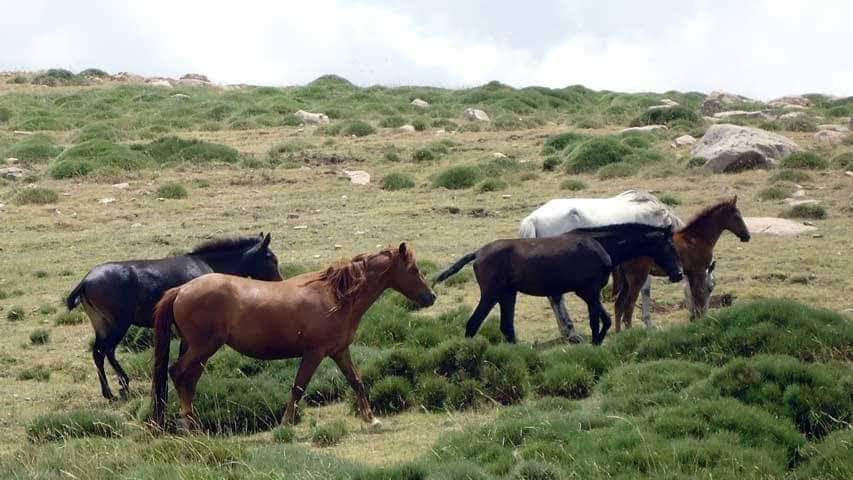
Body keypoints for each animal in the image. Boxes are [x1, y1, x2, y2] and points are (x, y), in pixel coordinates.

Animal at [66, 233, 282, 400]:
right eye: (272, 259)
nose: (279, 283)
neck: (207, 265)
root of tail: (86, 281)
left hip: (102, 324)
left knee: (99, 353)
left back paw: (111, 391)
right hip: (118, 324)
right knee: (106, 350)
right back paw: (120, 386)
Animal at [151, 243, 436, 431]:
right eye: (413, 269)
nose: (431, 296)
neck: (336, 296)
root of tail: (181, 290)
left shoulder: (339, 350)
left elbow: (356, 381)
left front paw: (371, 418)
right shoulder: (314, 353)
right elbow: (299, 387)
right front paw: (286, 424)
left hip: (197, 349)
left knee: (189, 380)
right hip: (203, 347)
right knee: (178, 373)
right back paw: (193, 426)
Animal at [433, 223, 683, 345]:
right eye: (670, 245)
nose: (679, 274)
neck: (601, 245)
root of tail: (477, 253)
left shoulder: (589, 294)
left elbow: (603, 321)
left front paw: (596, 342)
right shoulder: (590, 292)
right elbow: (599, 322)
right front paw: (594, 343)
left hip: (507, 295)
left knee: (506, 328)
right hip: (491, 294)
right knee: (473, 324)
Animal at [518, 190, 682, 340]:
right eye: (670, 248)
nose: (678, 274)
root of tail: (532, 219)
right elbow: (644, 292)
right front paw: (648, 324)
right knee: (557, 298)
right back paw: (572, 333)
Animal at [612, 196, 750, 331]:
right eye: (737, 216)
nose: (747, 236)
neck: (696, 237)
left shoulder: (691, 273)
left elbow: (694, 295)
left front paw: (696, 319)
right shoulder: (699, 271)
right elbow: (699, 296)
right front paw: (701, 321)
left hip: (626, 281)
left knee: (619, 305)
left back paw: (620, 334)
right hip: (637, 278)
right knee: (628, 306)